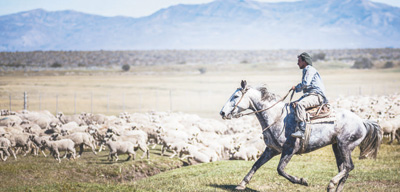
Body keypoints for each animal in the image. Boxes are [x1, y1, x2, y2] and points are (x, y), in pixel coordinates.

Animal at [220, 80, 382, 192]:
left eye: (235, 96)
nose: (222, 112)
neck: (276, 117)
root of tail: (362, 121)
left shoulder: (289, 150)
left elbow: (280, 169)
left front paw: (302, 181)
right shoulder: (271, 150)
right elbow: (256, 165)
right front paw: (241, 184)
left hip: (345, 146)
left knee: (349, 166)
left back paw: (331, 183)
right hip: (337, 147)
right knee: (344, 169)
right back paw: (333, 187)